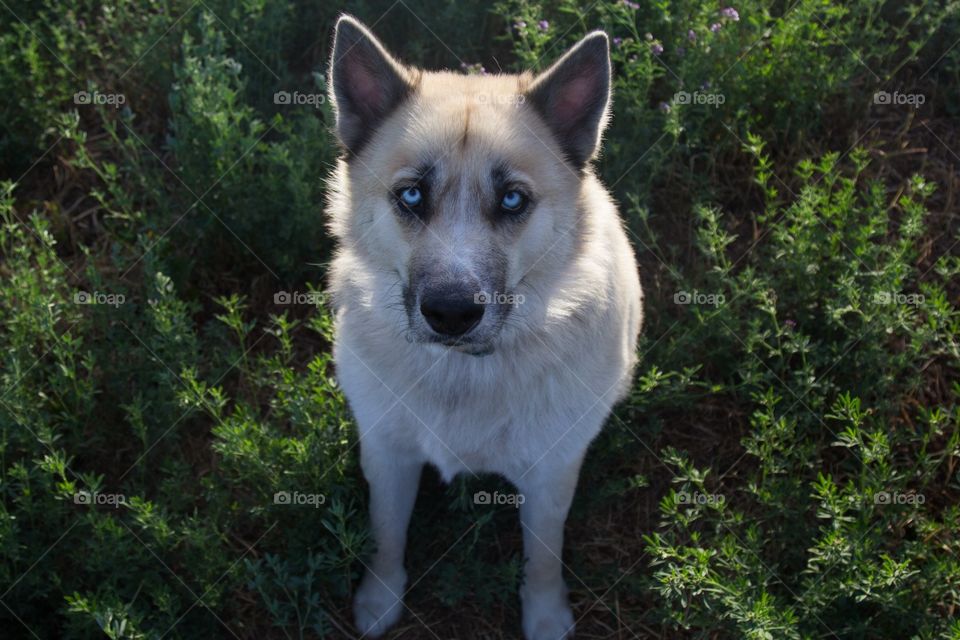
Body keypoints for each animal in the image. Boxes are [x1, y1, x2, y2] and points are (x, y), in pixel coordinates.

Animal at [326, 15, 640, 640]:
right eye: (411, 194)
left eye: (513, 199)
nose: (451, 312)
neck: (464, 371)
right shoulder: (387, 454)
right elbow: (386, 532)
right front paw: (380, 598)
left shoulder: (551, 475)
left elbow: (543, 554)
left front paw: (544, 615)